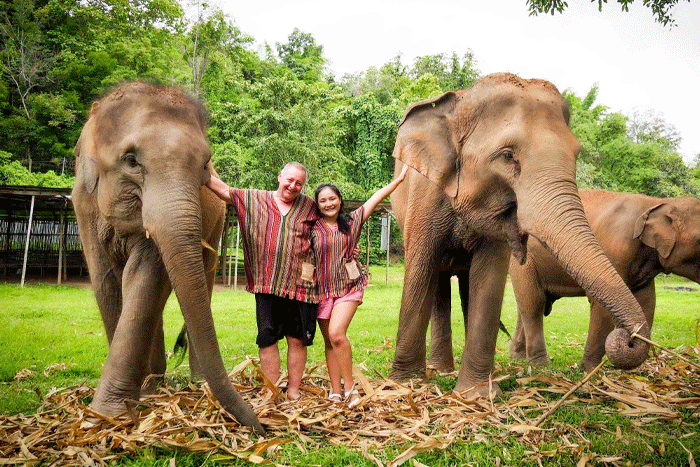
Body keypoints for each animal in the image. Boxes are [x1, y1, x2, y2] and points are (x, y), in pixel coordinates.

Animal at [71, 80, 264, 436]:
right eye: (131, 160)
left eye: (204, 165)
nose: (261, 428)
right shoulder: (83, 205)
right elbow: (106, 282)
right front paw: (111, 413)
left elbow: (145, 275)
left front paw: (110, 412)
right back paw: (152, 385)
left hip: (216, 223)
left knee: (200, 280)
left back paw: (194, 383)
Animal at [392, 74, 652, 398]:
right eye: (507, 156)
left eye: (576, 154)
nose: (628, 339)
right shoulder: (424, 193)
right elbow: (420, 267)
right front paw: (405, 385)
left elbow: (489, 278)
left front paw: (476, 394)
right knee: (438, 280)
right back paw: (440, 371)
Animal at [508, 188, 700, 372]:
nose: (628, 339)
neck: (657, 202)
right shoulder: (615, 247)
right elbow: (602, 306)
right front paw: (590, 370)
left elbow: (647, 303)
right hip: (524, 261)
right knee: (533, 303)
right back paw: (540, 366)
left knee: (526, 304)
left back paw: (518, 358)